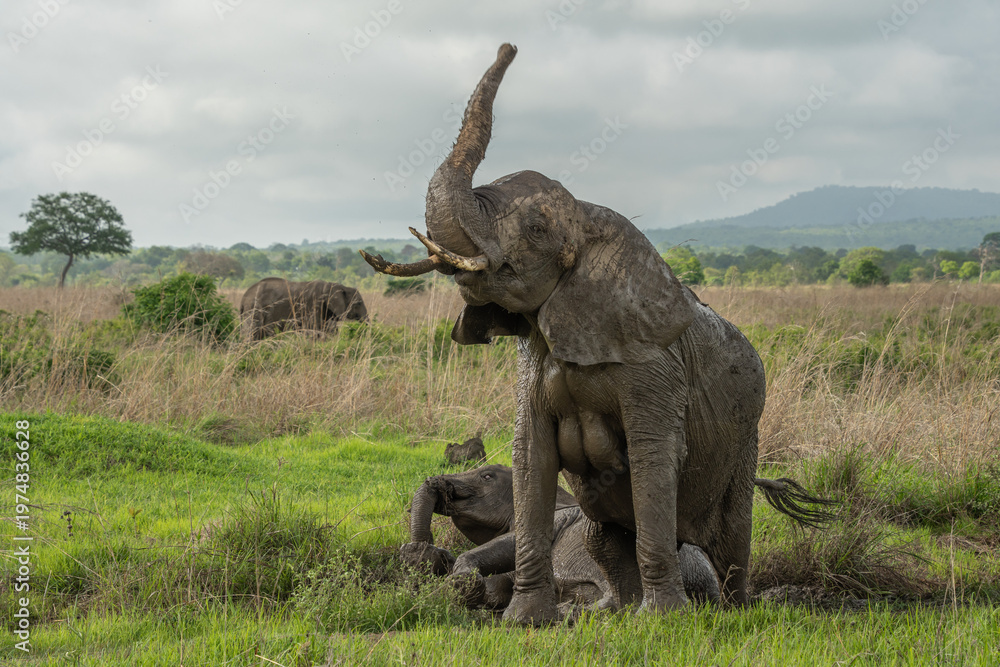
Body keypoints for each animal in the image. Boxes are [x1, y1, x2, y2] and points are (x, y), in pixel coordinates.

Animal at [401, 464, 722, 611]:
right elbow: (502, 584)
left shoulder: (554, 522)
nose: (436, 483)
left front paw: (460, 581)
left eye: (486, 476)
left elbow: (510, 546)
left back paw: (567, 611)